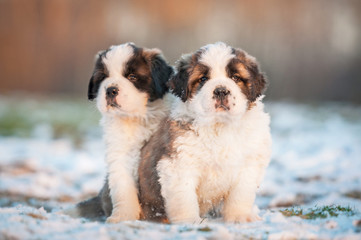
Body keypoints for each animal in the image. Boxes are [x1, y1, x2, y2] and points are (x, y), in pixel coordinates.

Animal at [75, 41, 174, 223]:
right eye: (103, 77)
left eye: (132, 77)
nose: (110, 90)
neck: (137, 118)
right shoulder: (120, 153)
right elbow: (123, 188)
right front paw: (122, 216)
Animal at [137, 42, 270, 224]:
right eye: (203, 79)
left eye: (235, 78)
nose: (221, 91)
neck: (220, 127)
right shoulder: (179, 164)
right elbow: (184, 197)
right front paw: (189, 221)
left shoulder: (248, 164)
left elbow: (240, 195)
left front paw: (239, 217)